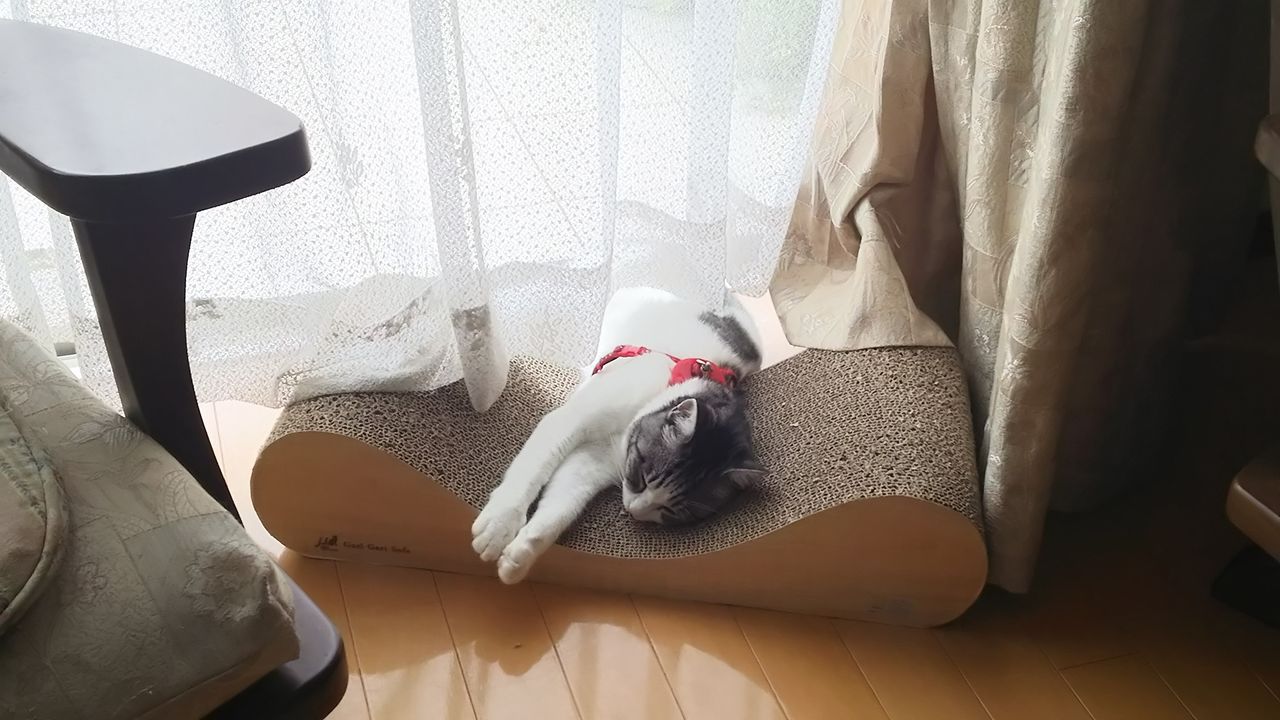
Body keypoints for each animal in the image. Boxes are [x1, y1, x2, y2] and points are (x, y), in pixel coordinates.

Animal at [471, 286, 768, 584]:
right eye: (643, 477)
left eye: (672, 512)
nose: (634, 510)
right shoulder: (572, 419)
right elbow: (533, 469)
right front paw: (499, 526)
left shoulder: (593, 460)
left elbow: (561, 508)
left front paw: (519, 557)